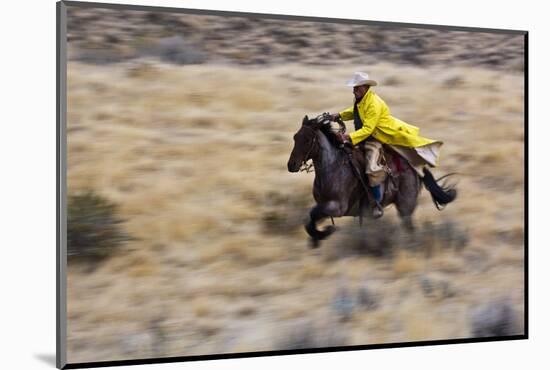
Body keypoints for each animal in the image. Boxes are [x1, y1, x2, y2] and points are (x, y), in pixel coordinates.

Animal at [286, 115, 460, 249]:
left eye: (307, 139)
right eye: (295, 137)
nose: (291, 165)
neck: (333, 167)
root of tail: (416, 169)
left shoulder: (337, 207)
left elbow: (312, 215)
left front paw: (326, 232)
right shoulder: (324, 206)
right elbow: (310, 218)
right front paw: (317, 238)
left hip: (405, 205)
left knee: (410, 227)